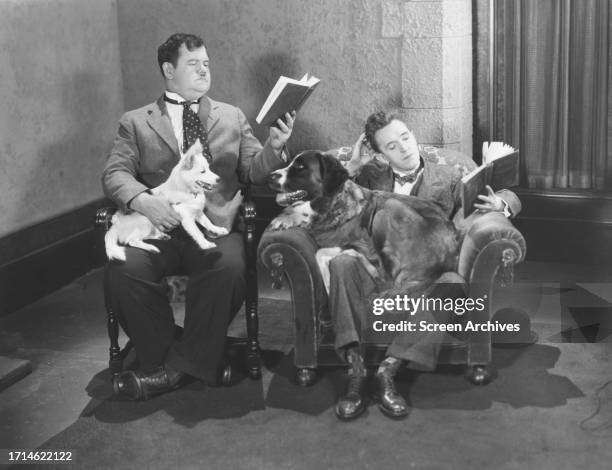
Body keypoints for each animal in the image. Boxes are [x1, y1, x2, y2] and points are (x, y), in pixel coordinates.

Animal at [268, 151, 460, 296]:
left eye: (300, 167)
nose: (270, 176)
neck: (332, 203)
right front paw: (282, 220)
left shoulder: (364, 245)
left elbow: (319, 252)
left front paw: (328, 284)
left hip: (387, 208)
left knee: (386, 280)